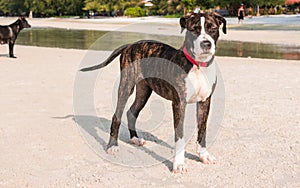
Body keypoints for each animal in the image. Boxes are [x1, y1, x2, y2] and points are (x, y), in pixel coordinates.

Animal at [81, 11, 226, 173]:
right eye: (194, 29)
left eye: (212, 29)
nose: (206, 44)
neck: (198, 66)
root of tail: (130, 45)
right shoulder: (179, 104)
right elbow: (180, 136)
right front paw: (179, 164)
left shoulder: (205, 102)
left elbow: (202, 130)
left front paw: (203, 155)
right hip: (126, 86)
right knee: (117, 116)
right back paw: (112, 146)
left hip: (144, 91)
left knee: (131, 112)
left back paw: (135, 138)